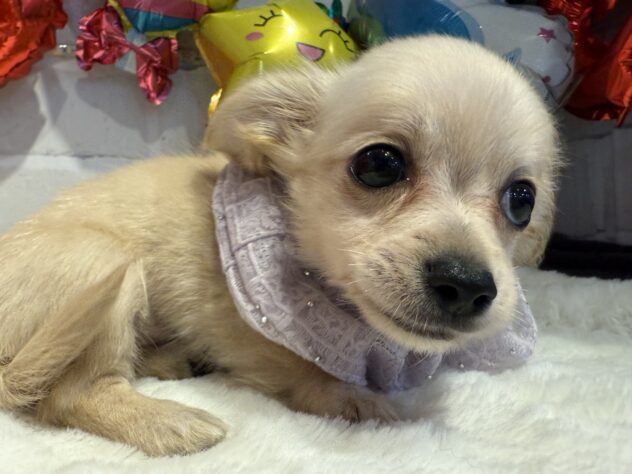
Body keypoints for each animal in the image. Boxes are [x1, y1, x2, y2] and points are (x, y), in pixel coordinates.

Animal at [0, 36, 559, 456]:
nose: (466, 285)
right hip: (102, 262)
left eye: (522, 201)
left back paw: (171, 361)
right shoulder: (237, 321)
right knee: (70, 395)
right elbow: (295, 366)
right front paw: (352, 399)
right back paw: (170, 421)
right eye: (379, 163)